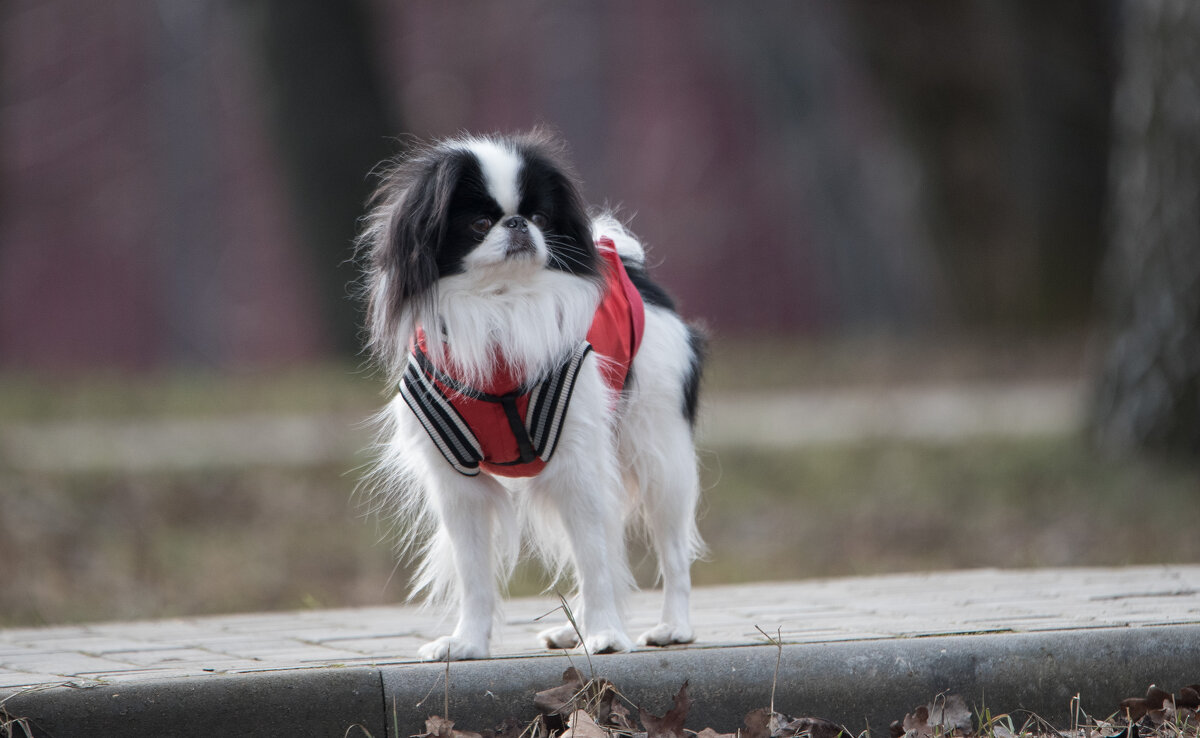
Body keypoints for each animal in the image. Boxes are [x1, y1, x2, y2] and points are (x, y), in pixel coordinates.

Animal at [360, 130, 705, 662]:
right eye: (480, 224)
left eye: (541, 218)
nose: (518, 223)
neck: (501, 307)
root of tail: (632, 271)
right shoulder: (459, 486)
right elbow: (475, 575)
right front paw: (467, 643)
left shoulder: (580, 466)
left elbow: (596, 561)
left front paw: (606, 635)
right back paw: (571, 632)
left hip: (660, 455)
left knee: (671, 551)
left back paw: (673, 627)